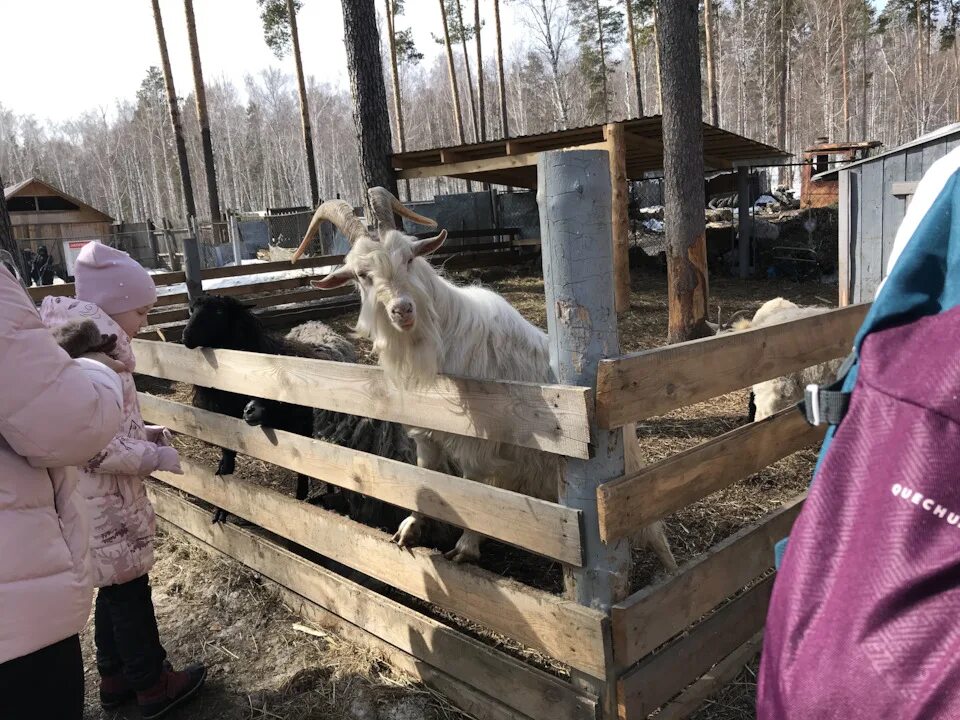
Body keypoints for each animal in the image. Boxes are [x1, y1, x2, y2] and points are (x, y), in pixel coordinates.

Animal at [292, 188, 676, 572]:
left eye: (409, 259)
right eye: (362, 275)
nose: (402, 309)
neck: (439, 339)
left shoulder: (477, 440)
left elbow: (474, 487)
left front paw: (466, 547)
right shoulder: (427, 433)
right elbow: (426, 473)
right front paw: (411, 527)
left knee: (650, 523)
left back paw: (670, 569)